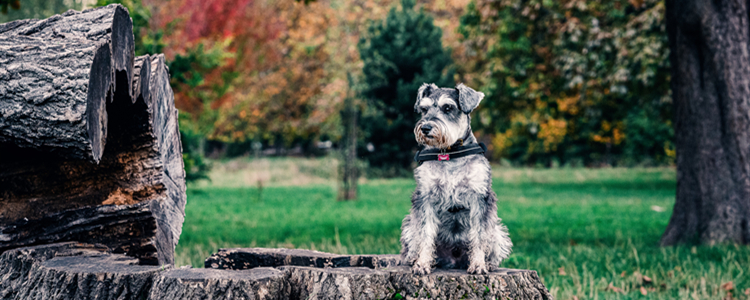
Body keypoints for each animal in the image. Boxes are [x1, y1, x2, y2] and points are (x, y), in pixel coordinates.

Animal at [402, 83, 516, 276]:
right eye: (424, 109)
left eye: (448, 108)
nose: (425, 128)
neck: (449, 154)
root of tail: (454, 260)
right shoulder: (425, 197)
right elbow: (425, 233)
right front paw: (422, 264)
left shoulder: (479, 197)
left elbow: (479, 235)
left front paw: (478, 265)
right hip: (410, 224)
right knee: (414, 240)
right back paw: (413, 258)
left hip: (497, 230)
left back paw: (489, 263)